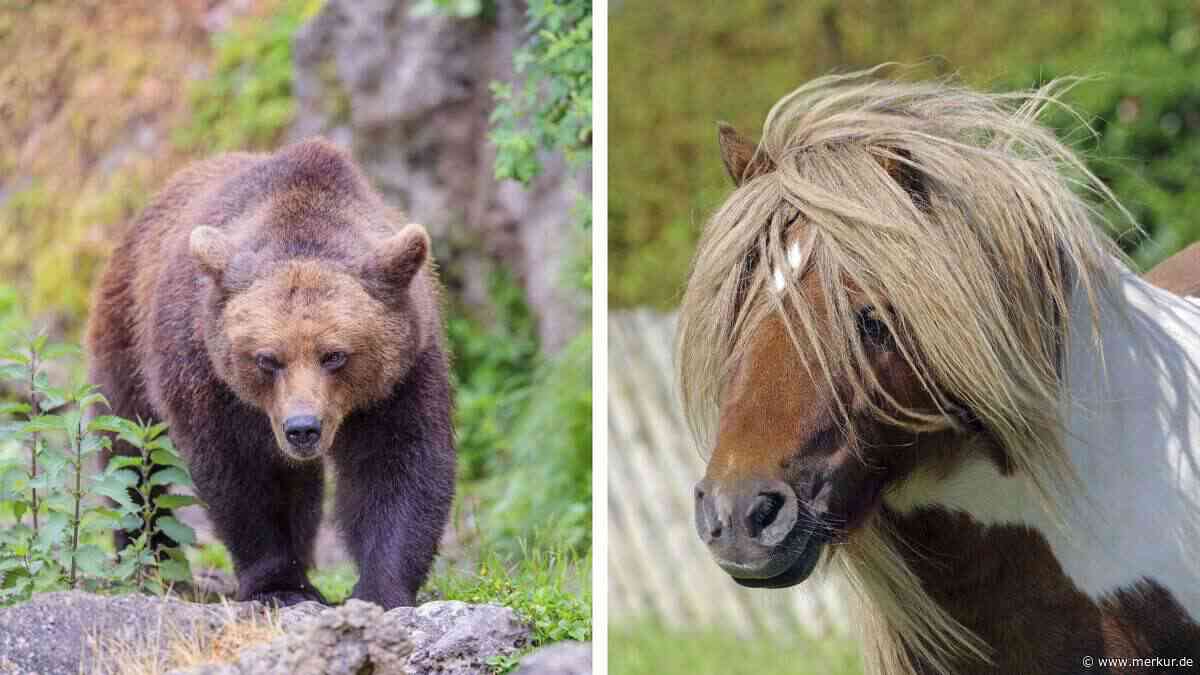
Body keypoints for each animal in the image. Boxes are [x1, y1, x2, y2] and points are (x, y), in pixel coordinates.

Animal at [85, 138, 456, 609]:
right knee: (133, 453)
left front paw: (380, 588)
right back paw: (149, 559)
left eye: (334, 355)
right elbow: (245, 474)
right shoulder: (211, 374)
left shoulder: (403, 371)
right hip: (126, 338)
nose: (302, 428)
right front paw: (280, 586)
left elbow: (397, 463)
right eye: (266, 359)